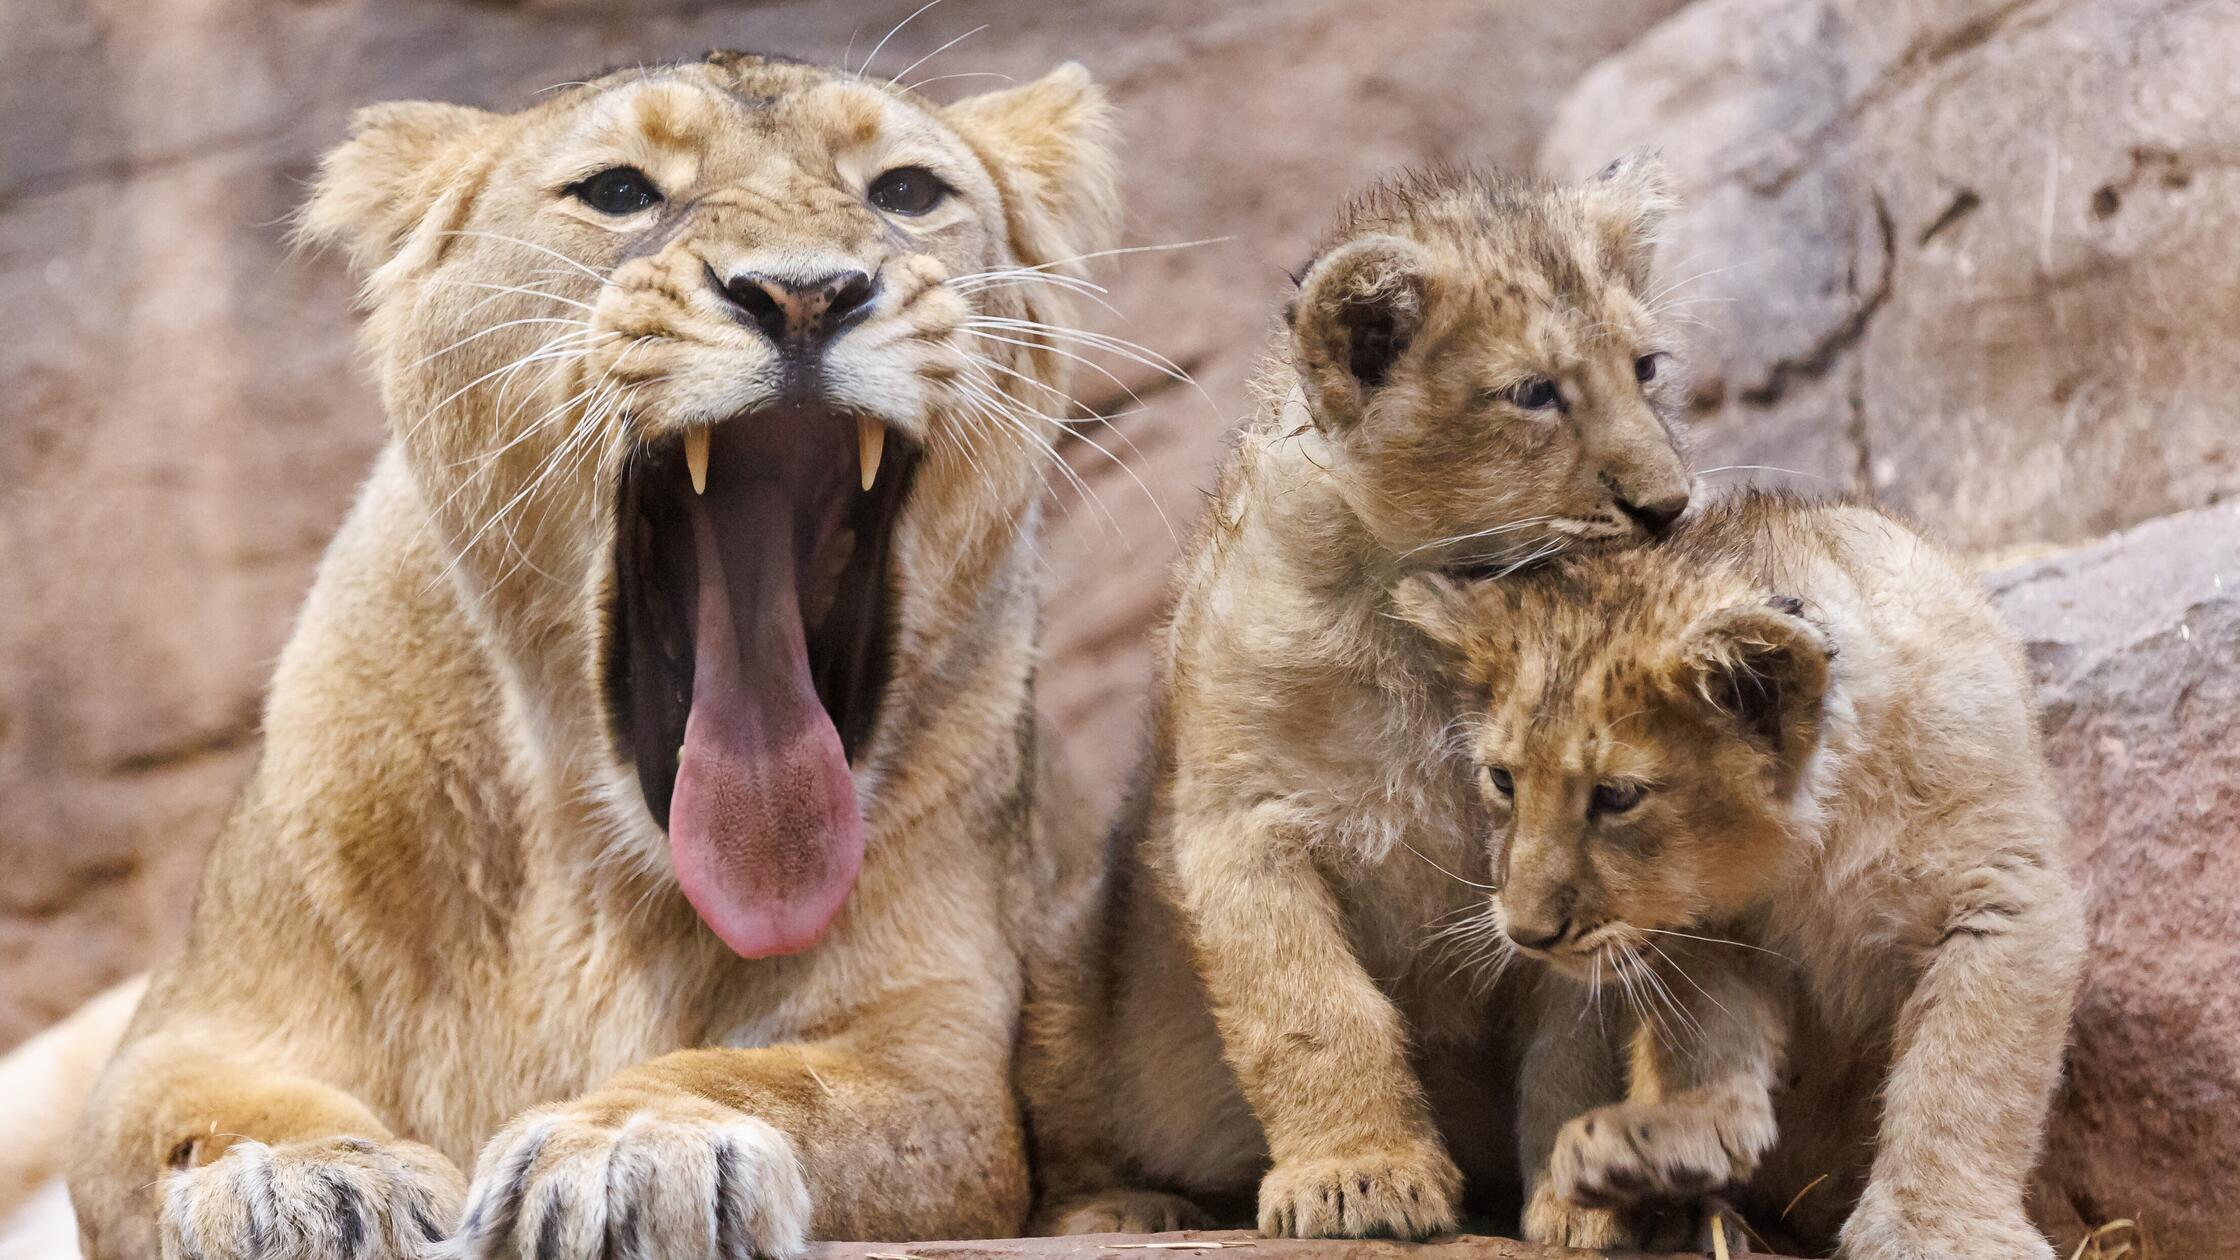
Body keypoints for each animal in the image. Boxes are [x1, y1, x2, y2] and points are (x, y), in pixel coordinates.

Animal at [58, 51, 1118, 1260]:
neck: (600, 879)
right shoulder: (197, 1022)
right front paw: (309, 1181)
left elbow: (769, 1079)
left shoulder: (937, 1049)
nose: (805, 293)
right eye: (618, 191)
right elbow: (197, 1109)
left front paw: (637, 1145)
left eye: (904, 191)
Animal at [1021, 160, 1696, 1240]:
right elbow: (1314, 1011)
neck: (1441, 623)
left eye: (1644, 367)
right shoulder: (1240, 824)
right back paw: (1122, 1208)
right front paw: (1358, 1180)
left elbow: (1577, 1049)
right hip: (1066, 965)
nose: (1669, 506)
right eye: (1533, 393)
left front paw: (1588, 1205)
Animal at [1395, 490, 2085, 1259]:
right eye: (1503, 781)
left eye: (1617, 796)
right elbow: (1713, 1041)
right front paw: (1677, 1139)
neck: (1822, 837)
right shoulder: (1709, 935)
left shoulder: (2003, 894)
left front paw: (1932, 1227)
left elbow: (1965, 1075)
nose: (1525, 934)